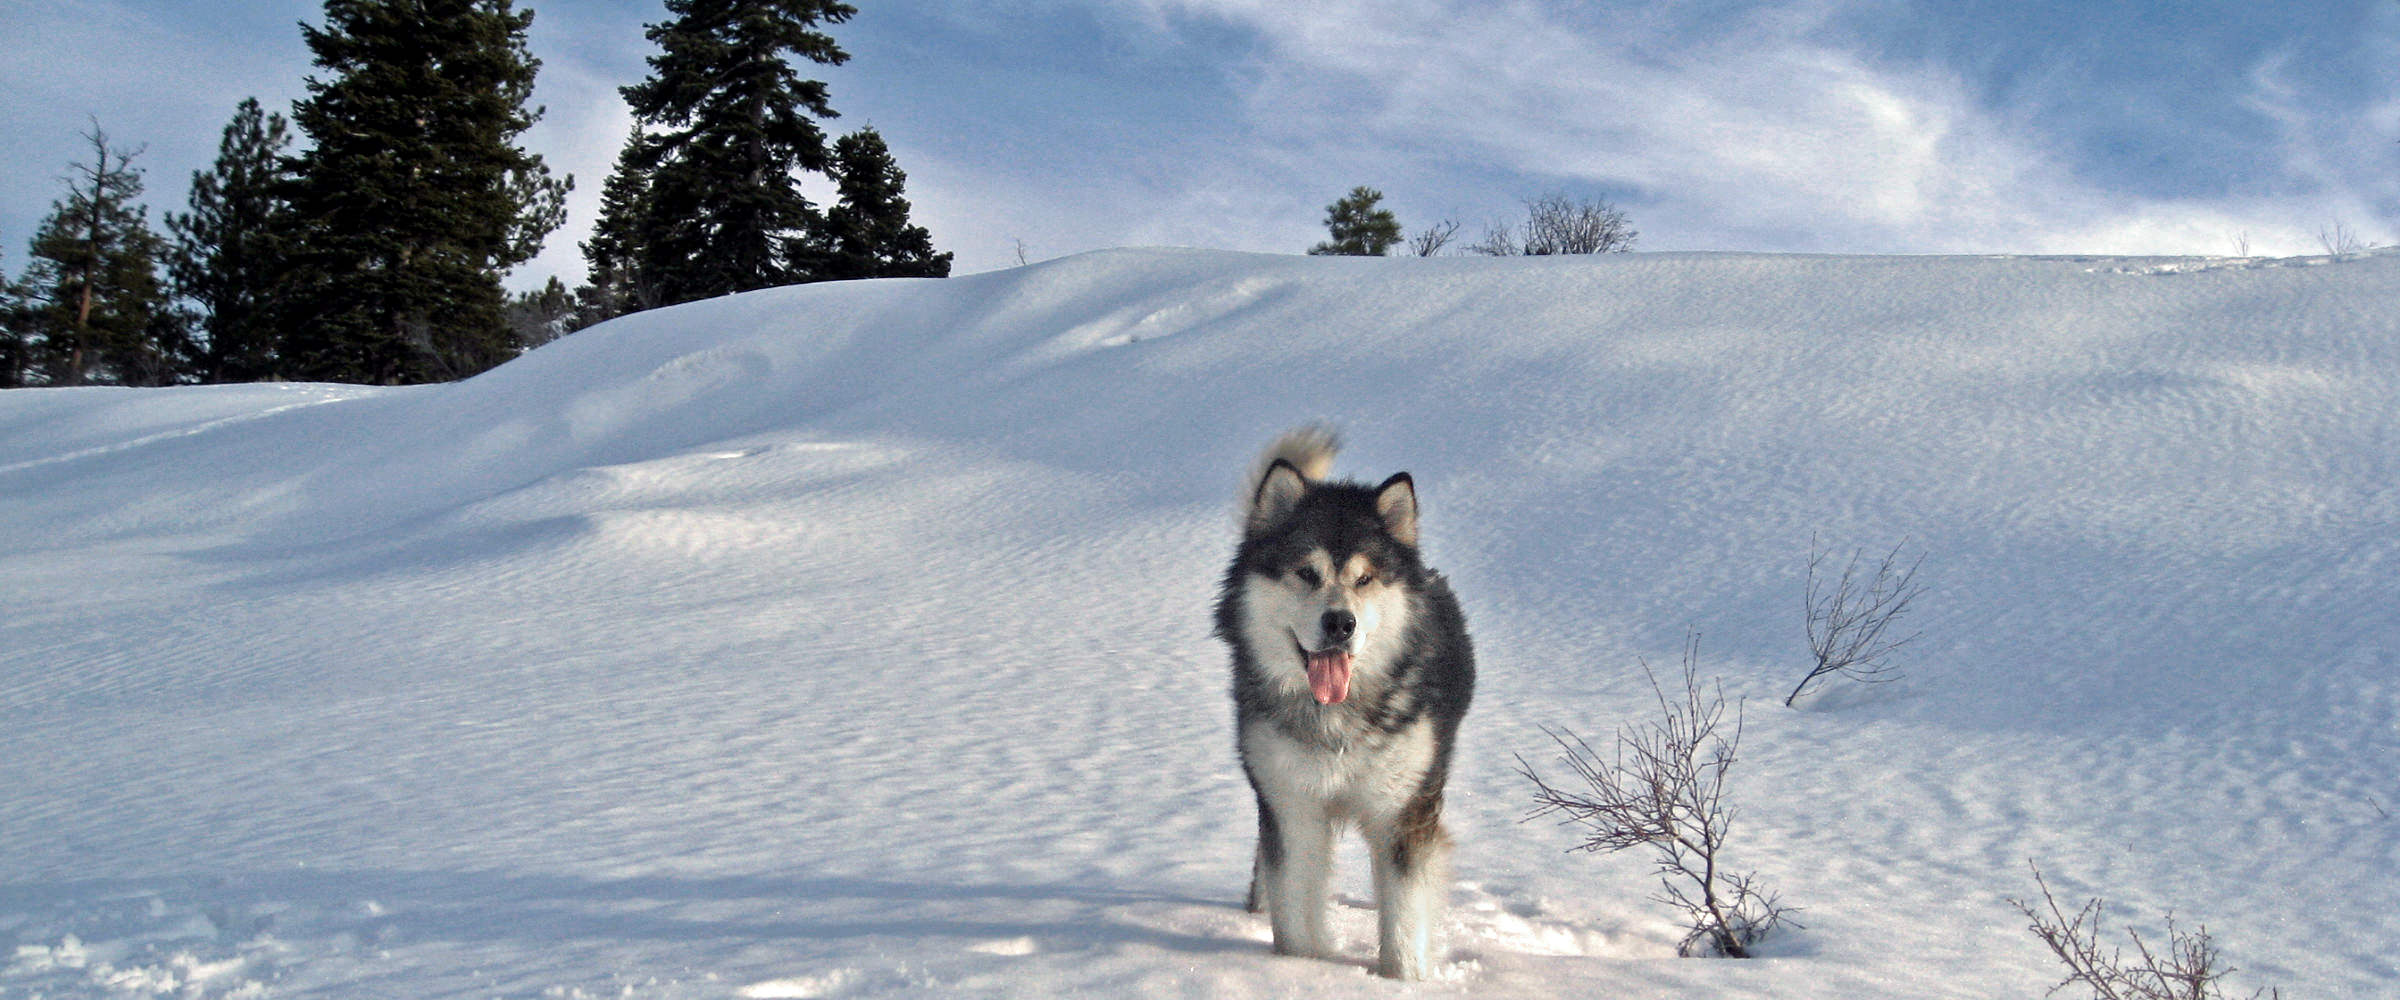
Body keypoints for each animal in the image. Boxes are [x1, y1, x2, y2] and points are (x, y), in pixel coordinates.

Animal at [1219, 424, 1478, 978]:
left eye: (1364, 578)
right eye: (1306, 573)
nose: (1340, 622)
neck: (1336, 716)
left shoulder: (1403, 810)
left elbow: (1403, 918)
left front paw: (1403, 981)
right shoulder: (1292, 805)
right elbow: (1294, 910)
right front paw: (1299, 973)